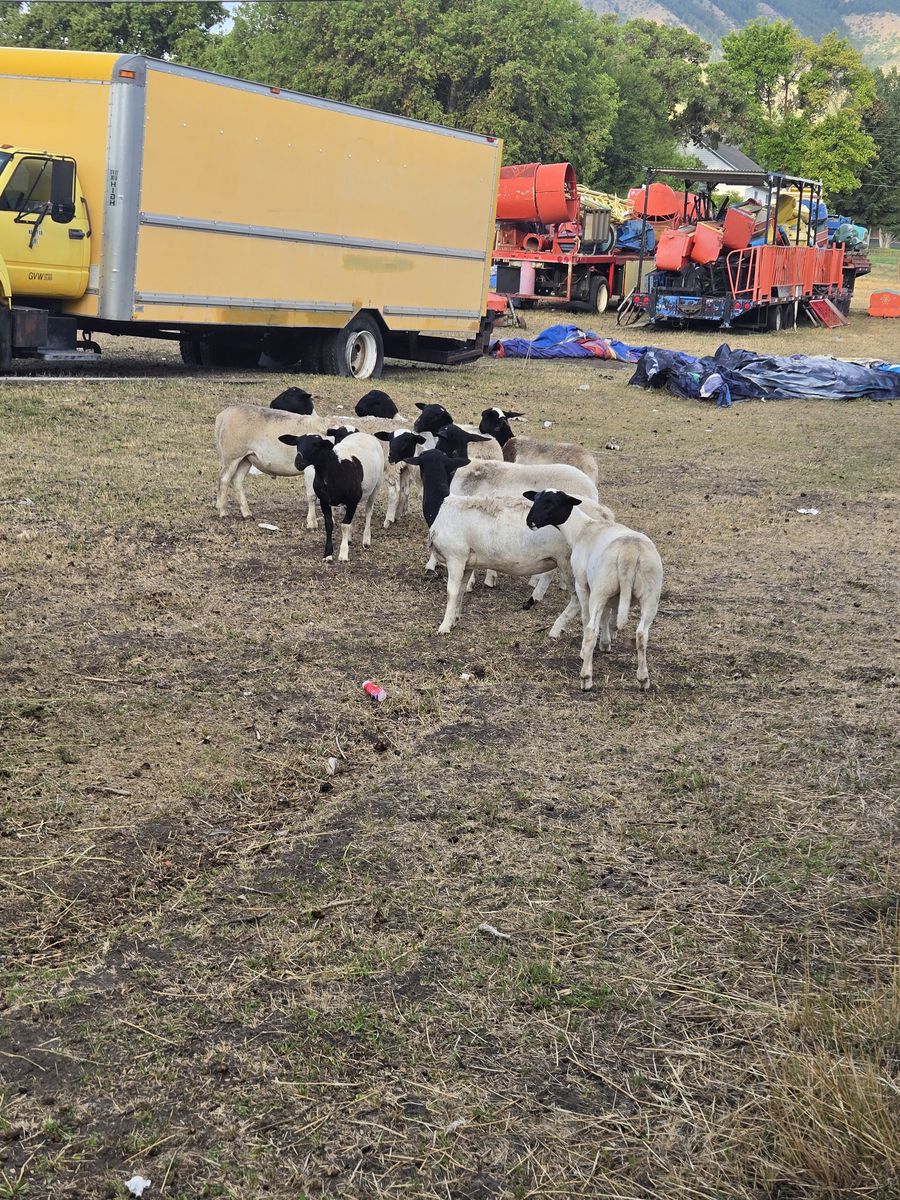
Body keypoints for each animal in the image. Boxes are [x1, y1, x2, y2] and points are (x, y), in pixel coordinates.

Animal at [278, 431, 384, 562]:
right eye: (297, 443)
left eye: (316, 445)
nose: (298, 462)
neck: (333, 469)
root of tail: (365, 434)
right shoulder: (324, 500)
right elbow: (329, 525)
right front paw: (327, 554)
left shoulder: (352, 500)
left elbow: (344, 525)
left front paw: (343, 554)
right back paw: (349, 538)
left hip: (376, 486)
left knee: (368, 511)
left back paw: (366, 539)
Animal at [402, 449, 581, 636]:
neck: (441, 506)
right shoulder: (467, 562)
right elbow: (461, 590)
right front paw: (455, 619)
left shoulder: (455, 558)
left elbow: (452, 592)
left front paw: (444, 626)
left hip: (570, 564)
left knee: (578, 601)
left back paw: (557, 629)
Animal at [524, 489, 663, 692]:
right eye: (535, 499)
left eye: (551, 503)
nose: (530, 521)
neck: (581, 529)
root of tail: (629, 554)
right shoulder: (612, 596)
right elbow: (607, 615)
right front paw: (605, 644)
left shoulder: (583, 584)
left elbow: (585, 616)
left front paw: (586, 651)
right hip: (649, 595)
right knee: (641, 635)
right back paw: (643, 679)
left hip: (600, 590)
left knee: (591, 629)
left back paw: (586, 678)